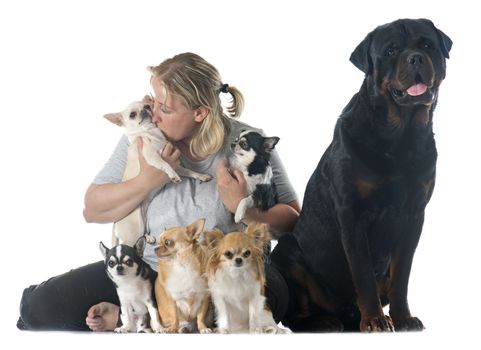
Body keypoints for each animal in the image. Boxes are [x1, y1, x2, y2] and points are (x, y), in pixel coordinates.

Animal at [104, 94, 211, 245]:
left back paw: (148, 237)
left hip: (143, 217)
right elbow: (164, 164)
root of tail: (114, 224)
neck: (149, 131)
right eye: (132, 115)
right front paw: (173, 175)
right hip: (135, 225)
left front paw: (200, 175)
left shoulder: (177, 164)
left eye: (147, 106)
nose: (145, 110)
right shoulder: (152, 156)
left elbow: (188, 171)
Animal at [272, 17, 452, 332]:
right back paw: (325, 322)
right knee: (295, 314)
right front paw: (375, 320)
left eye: (427, 45)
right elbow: (363, 274)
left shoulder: (414, 215)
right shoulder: (352, 214)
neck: (401, 136)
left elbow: (401, 276)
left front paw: (404, 318)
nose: (416, 57)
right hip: (286, 251)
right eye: (391, 51)